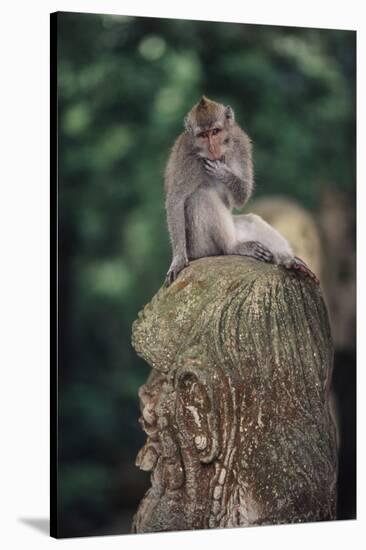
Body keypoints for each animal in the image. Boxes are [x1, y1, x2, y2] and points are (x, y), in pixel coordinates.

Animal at [164, 98, 318, 286]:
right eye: (203, 135)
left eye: (215, 132)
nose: (213, 147)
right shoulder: (186, 157)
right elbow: (176, 200)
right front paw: (178, 259)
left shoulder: (241, 144)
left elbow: (240, 198)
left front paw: (223, 172)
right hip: (200, 247)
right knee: (201, 197)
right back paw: (232, 247)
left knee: (252, 221)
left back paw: (287, 260)